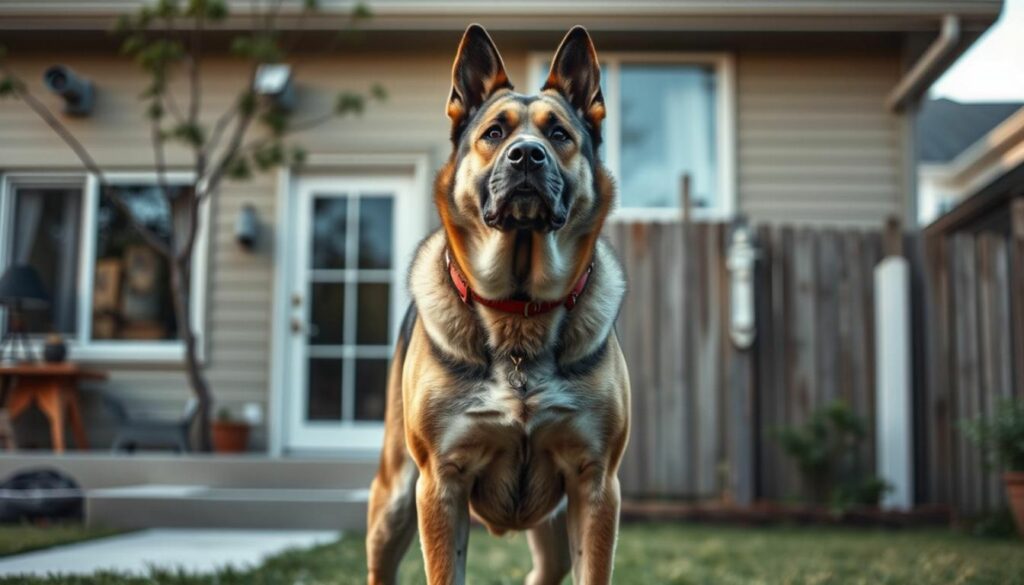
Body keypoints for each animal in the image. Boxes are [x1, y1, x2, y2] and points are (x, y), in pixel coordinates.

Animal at [364, 24, 626, 585]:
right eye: (493, 134)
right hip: (393, 500)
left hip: (552, 529)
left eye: (559, 135)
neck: (518, 312)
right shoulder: (440, 484)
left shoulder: (596, 483)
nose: (526, 155)